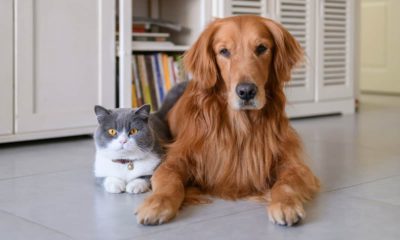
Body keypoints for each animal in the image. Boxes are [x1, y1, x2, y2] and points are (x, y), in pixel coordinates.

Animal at [136, 15, 320, 227]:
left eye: (261, 48)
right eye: (224, 51)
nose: (246, 91)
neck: (240, 126)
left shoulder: (293, 164)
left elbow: (286, 183)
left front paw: (285, 204)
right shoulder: (175, 160)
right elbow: (169, 181)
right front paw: (157, 203)